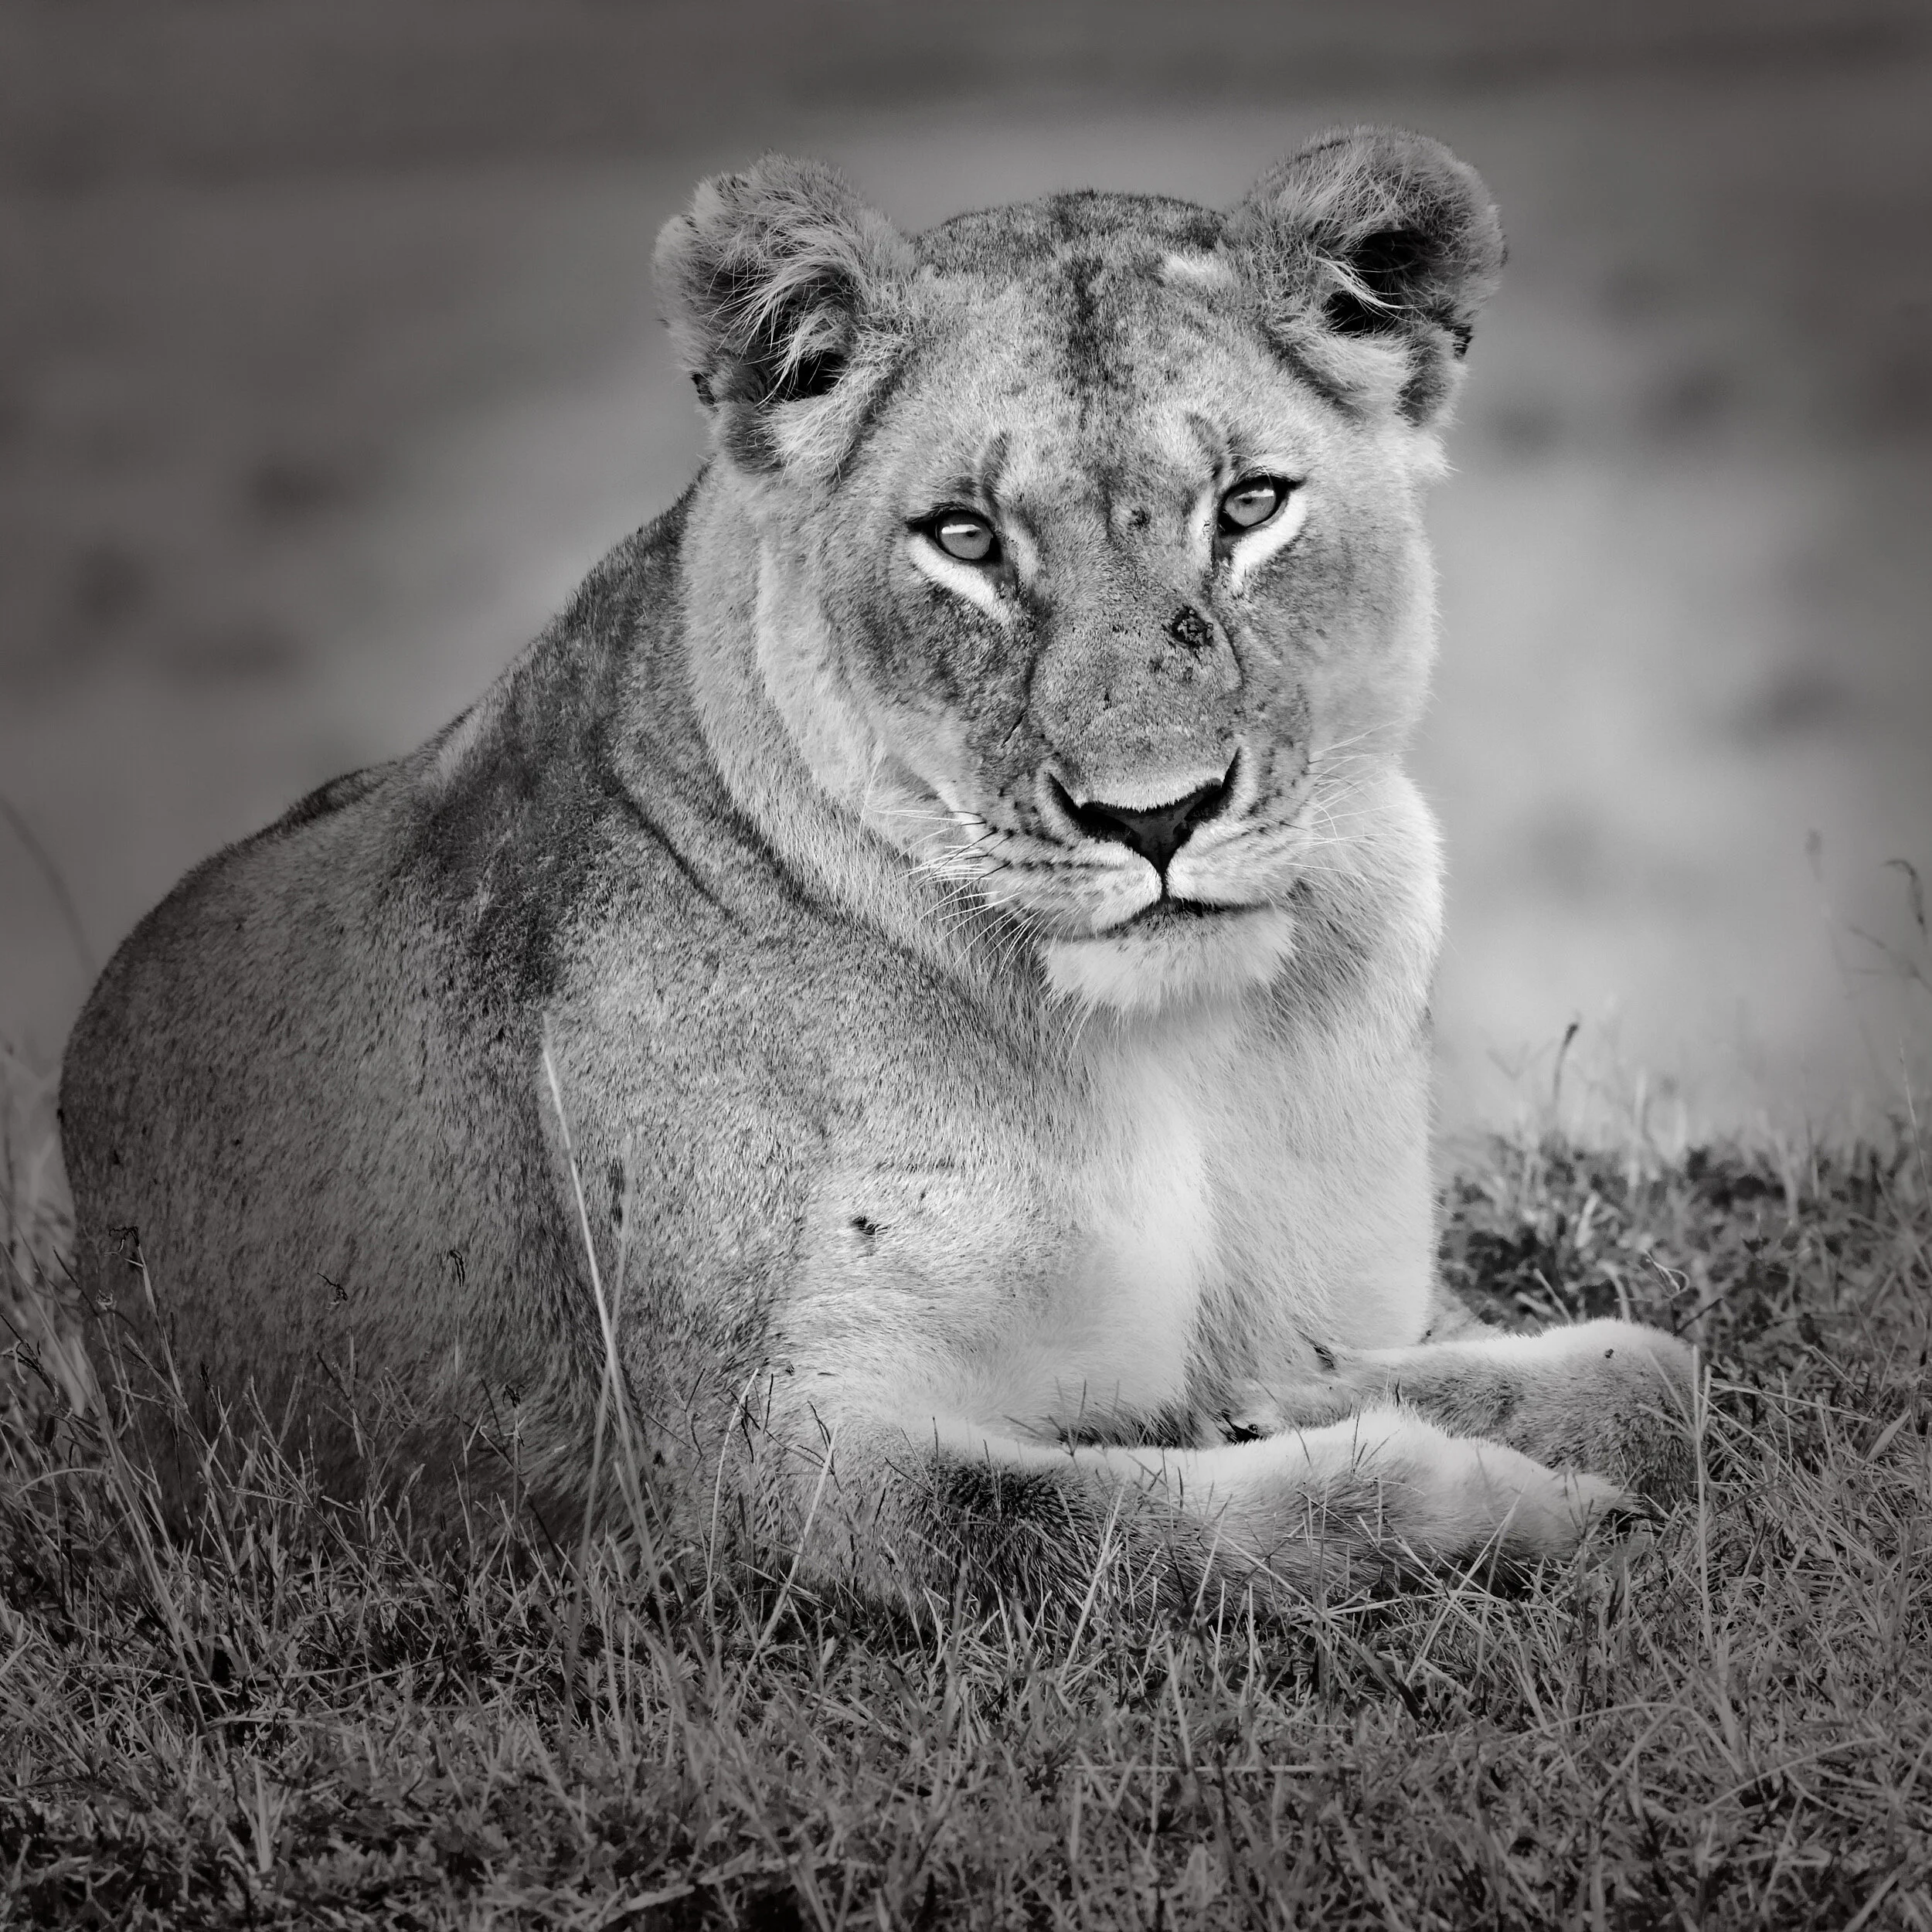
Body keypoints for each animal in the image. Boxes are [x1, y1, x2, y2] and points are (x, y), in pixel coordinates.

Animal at [60, 127, 1694, 1611]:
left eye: (1248, 507)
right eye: (963, 538)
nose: (1155, 816)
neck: (1174, 1046)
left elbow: (1657, 1369)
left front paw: (1313, 1393)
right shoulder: (752, 1473)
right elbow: (1128, 1530)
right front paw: (1486, 1500)